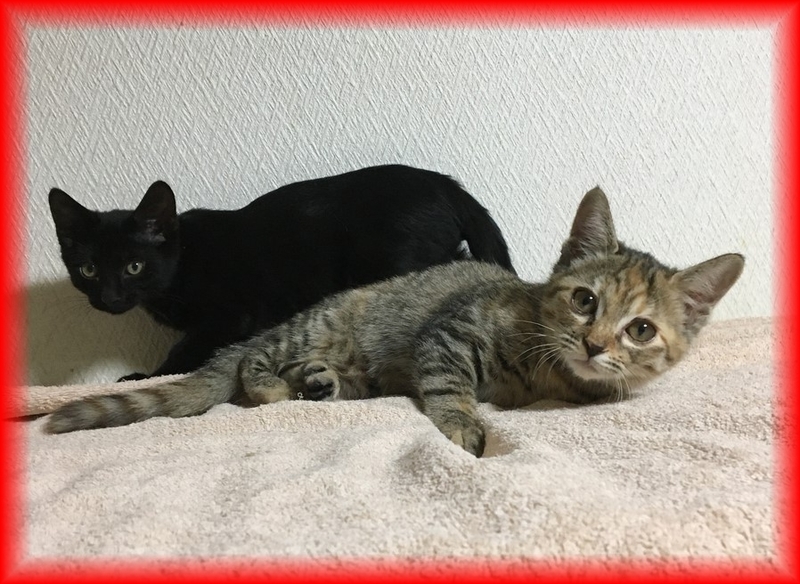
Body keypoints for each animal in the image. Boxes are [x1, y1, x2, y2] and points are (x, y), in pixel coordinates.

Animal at [44, 187, 744, 457]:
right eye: (584, 301)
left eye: (641, 329)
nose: (595, 344)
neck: (549, 372)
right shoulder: (450, 331)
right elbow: (450, 386)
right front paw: (463, 427)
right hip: (314, 324)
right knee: (250, 362)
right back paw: (274, 384)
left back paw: (319, 382)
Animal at [48, 164, 515, 381]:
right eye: (88, 269)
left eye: (134, 266)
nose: (109, 298)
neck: (182, 259)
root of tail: (447, 185)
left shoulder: (231, 316)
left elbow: (185, 349)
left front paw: (148, 376)